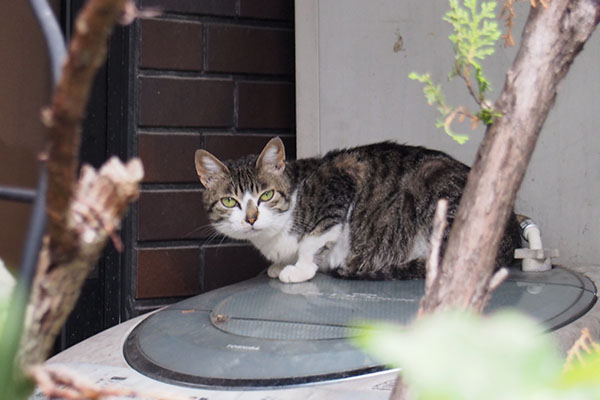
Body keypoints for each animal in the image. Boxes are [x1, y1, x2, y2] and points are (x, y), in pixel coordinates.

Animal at [193, 139, 520, 282]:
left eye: (267, 195)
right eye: (229, 202)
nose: (251, 218)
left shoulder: (340, 183)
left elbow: (314, 239)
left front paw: (299, 269)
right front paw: (279, 265)